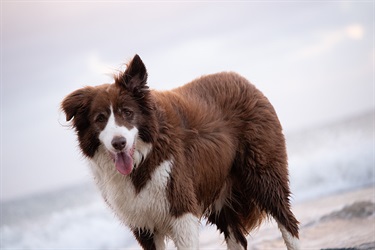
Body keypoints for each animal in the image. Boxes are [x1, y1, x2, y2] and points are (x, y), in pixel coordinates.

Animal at [63, 55, 302, 250]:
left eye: (127, 113)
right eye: (100, 118)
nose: (119, 143)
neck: (144, 158)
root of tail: (242, 80)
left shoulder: (181, 208)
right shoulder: (142, 224)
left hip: (263, 173)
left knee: (287, 222)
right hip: (219, 188)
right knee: (237, 237)